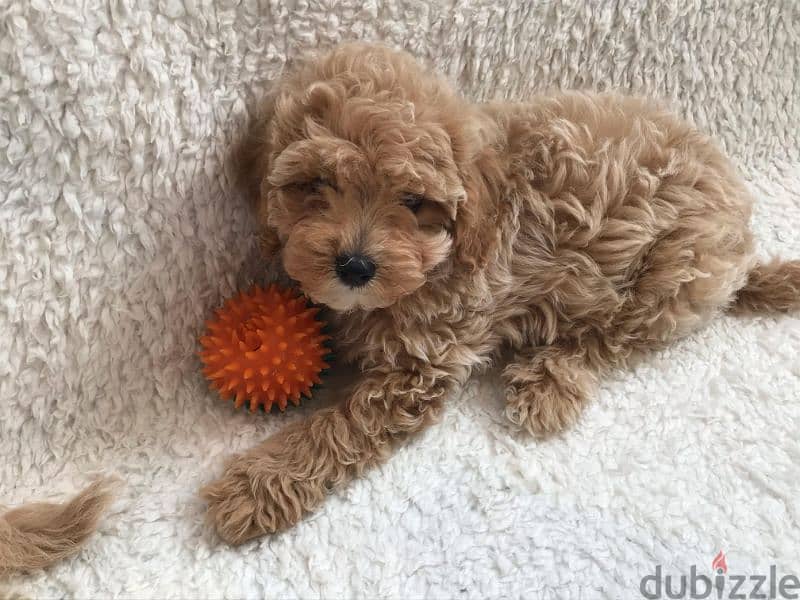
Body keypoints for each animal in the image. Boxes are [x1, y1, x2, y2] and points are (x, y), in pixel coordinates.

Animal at [202, 43, 800, 544]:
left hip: (670, 275)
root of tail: (742, 245)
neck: (441, 257)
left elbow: (338, 427)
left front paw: (255, 487)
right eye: (316, 185)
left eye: (413, 201)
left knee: (609, 341)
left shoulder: (422, 366)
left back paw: (549, 383)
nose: (354, 265)